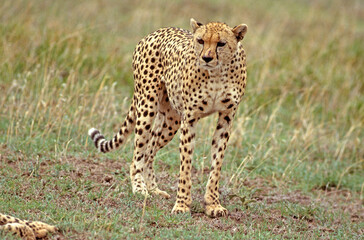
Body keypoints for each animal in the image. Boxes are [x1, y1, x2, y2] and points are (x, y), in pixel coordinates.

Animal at [88, 18, 247, 218]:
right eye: (200, 41)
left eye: (221, 44)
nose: (206, 58)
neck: (217, 73)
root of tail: (155, 32)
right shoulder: (190, 119)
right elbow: (185, 167)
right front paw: (182, 205)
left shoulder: (226, 118)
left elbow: (216, 165)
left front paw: (213, 204)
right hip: (147, 106)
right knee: (138, 155)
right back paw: (139, 188)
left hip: (171, 120)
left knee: (149, 152)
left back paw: (153, 189)